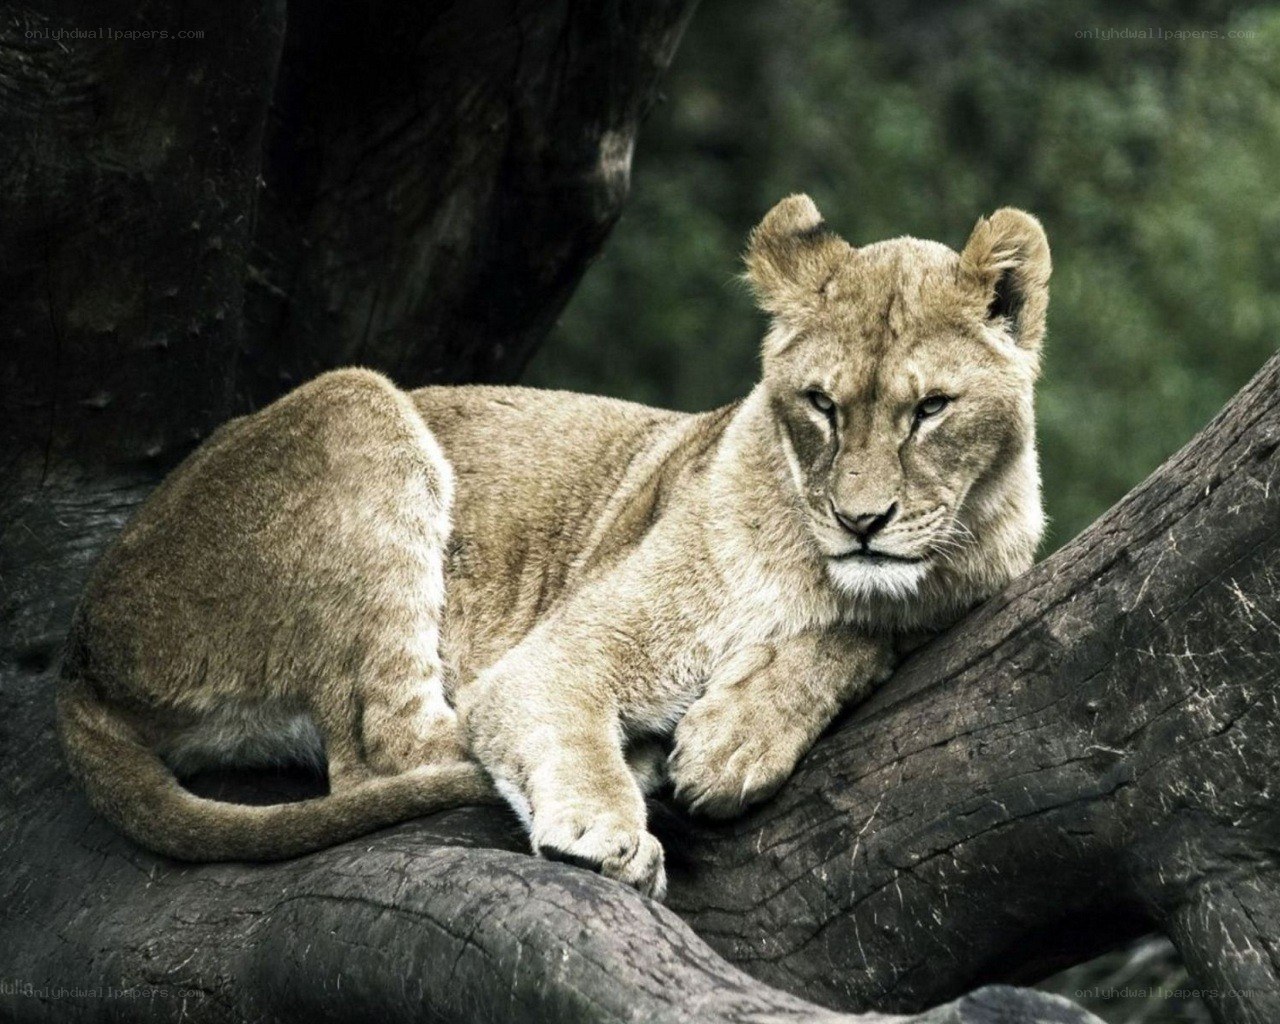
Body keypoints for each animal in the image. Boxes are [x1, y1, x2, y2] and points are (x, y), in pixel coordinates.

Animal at [57, 195, 1049, 899]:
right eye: (821, 404)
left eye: (931, 409)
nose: (860, 521)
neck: (825, 572)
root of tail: (81, 651)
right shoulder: (562, 653)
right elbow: (552, 715)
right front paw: (614, 828)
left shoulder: (972, 584)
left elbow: (861, 636)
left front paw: (737, 736)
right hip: (358, 402)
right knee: (385, 749)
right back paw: (635, 767)